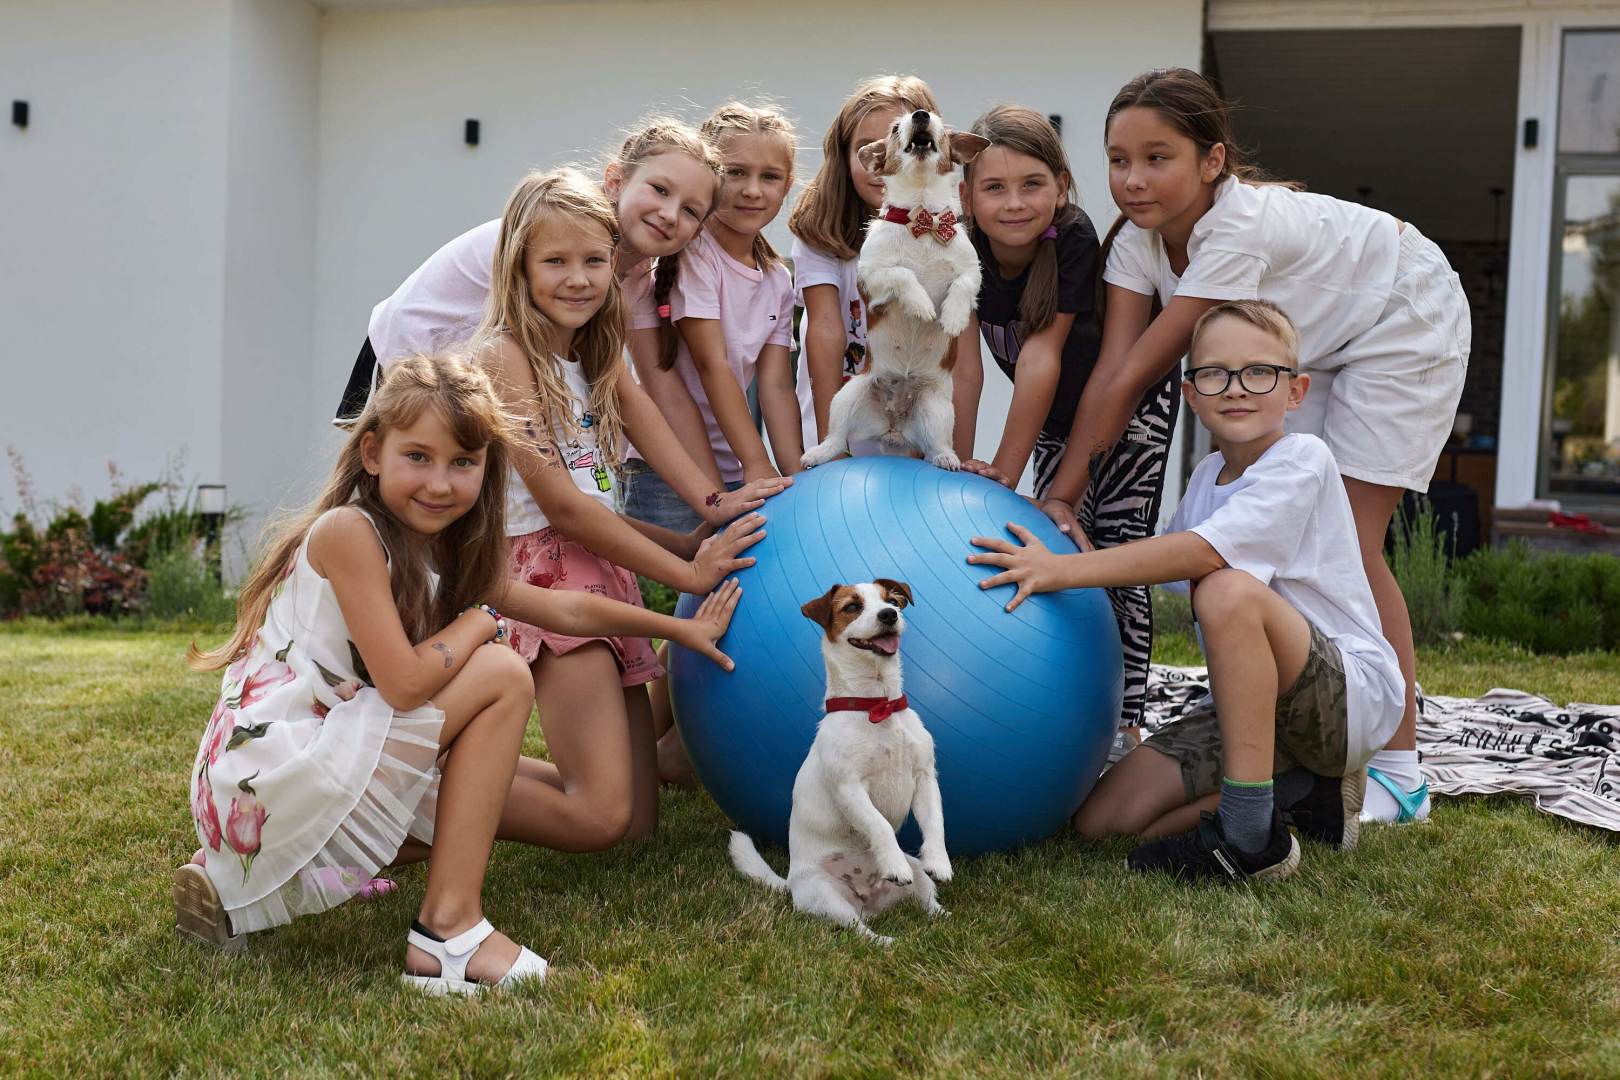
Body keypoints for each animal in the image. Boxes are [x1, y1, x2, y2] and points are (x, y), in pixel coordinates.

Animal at [725, 582, 946, 945]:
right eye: (852, 607)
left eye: (892, 601)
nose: (889, 615)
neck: (877, 705)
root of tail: (870, 902)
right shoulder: (849, 787)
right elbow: (879, 824)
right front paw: (892, 864)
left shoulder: (925, 777)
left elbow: (935, 823)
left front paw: (940, 861)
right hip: (825, 894)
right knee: (858, 930)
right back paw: (888, 942)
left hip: (918, 879)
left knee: (929, 903)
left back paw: (947, 921)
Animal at [797, 108, 984, 472]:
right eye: (896, 128)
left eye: (938, 122)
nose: (921, 115)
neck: (922, 221)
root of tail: (893, 429)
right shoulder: (871, 276)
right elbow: (903, 274)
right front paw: (922, 305)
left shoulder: (973, 271)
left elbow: (962, 283)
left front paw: (953, 318)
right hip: (845, 398)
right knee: (836, 437)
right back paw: (819, 453)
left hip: (938, 411)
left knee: (937, 443)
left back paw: (947, 457)